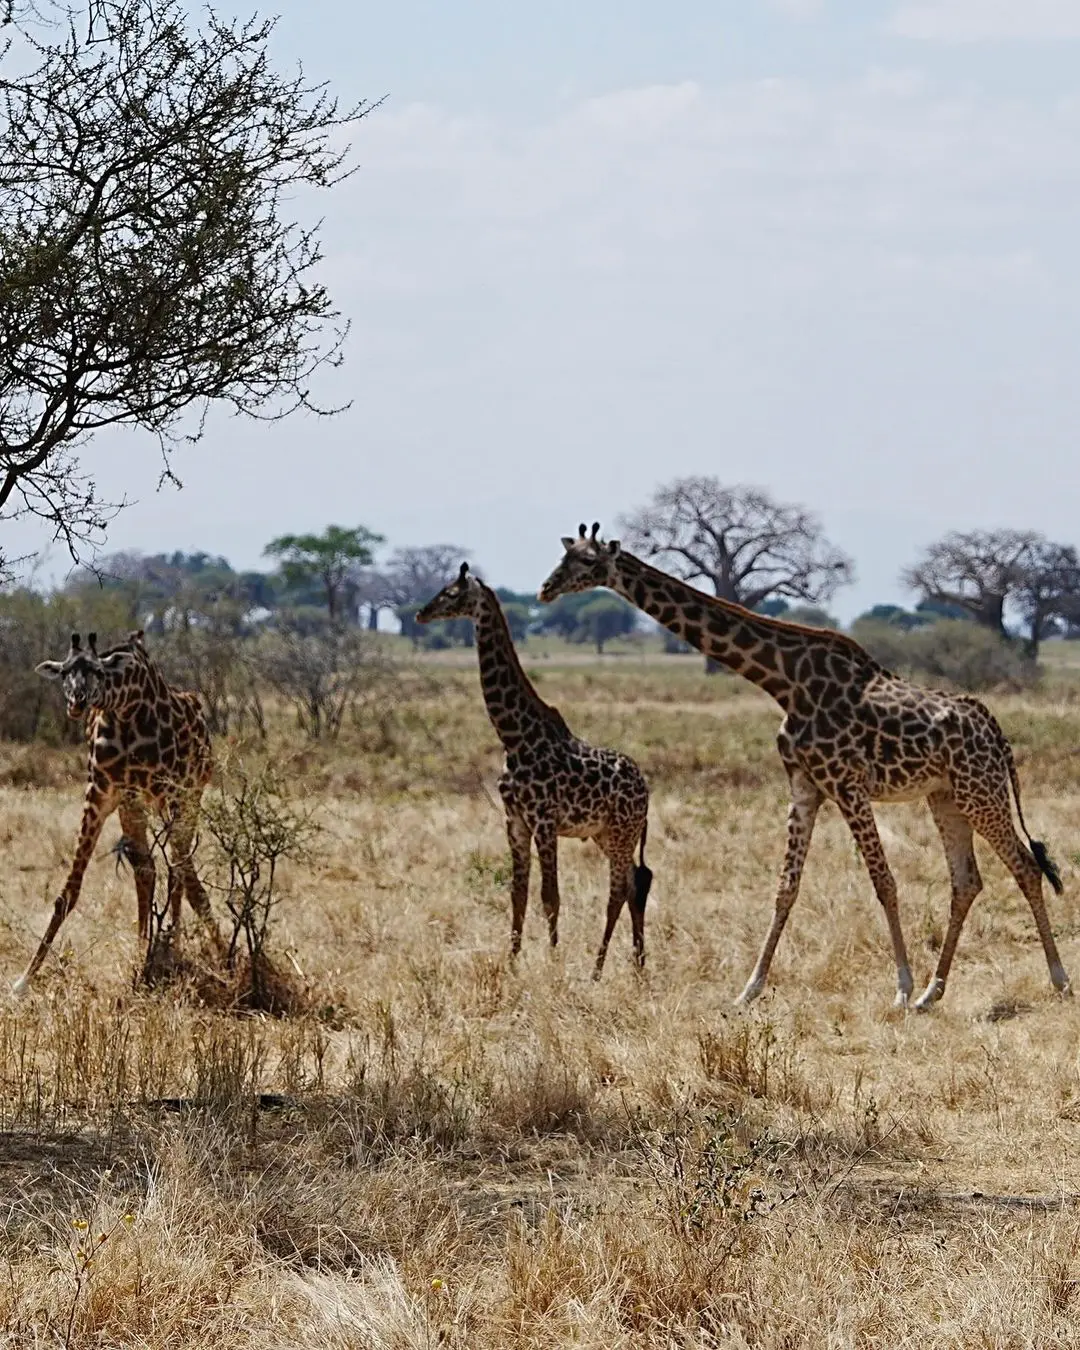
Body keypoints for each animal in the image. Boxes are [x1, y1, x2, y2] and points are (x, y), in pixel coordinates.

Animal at [15, 629, 225, 993]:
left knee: (179, 872)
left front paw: (226, 960)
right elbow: (70, 891)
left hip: (189, 797)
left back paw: (176, 946)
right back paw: (154, 951)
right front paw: (24, 979)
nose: (77, 702)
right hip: (144, 804)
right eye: (64, 673)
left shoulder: (171, 793)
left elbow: (184, 878)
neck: (126, 712)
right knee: (155, 869)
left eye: (99, 672)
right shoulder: (104, 793)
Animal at [415, 564, 653, 977]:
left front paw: (553, 962)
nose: (420, 613)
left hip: (623, 833)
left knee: (619, 891)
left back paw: (598, 969)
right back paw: (637, 965)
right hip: (606, 834)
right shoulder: (515, 821)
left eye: (450, 593)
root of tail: (647, 791)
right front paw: (511, 961)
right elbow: (518, 893)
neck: (514, 736)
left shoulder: (544, 819)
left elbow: (550, 895)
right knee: (634, 885)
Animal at [534, 521, 1069, 1009]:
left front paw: (899, 986)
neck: (784, 682)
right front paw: (748, 989)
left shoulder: (846, 784)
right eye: (564, 555)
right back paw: (933, 993)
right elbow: (785, 888)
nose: (544, 589)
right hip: (946, 795)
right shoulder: (805, 785)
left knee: (1024, 865)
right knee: (967, 880)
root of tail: (994, 729)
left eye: (586, 562)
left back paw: (1056, 979)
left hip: (981, 790)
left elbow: (884, 882)